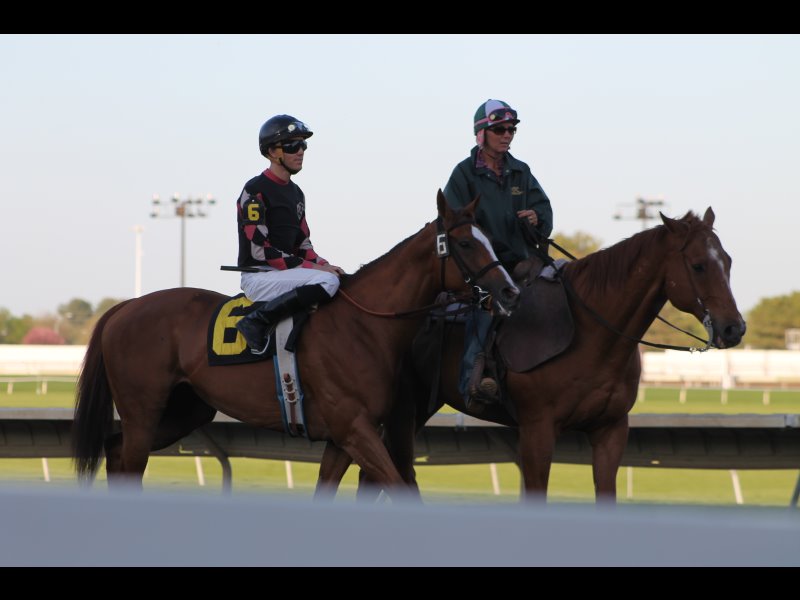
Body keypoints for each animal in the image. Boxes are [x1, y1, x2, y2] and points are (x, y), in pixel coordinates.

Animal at [72, 191, 521, 499]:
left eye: (488, 238)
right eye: (466, 243)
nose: (510, 291)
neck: (364, 325)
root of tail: (124, 308)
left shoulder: (342, 439)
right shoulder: (355, 428)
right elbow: (399, 486)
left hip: (185, 410)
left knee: (115, 450)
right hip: (143, 410)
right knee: (129, 461)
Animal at [356, 208, 746, 502]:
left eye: (727, 261)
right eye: (698, 265)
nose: (734, 328)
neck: (593, 335)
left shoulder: (610, 430)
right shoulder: (537, 431)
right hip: (403, 408)